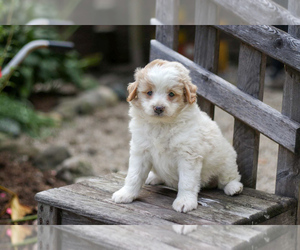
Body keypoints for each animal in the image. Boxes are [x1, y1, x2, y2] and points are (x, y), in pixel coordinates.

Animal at [111, 59, 243, 213]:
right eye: (149, 92)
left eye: (171, 94)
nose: (158, 108)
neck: (161, 125)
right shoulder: (141, 151)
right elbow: (134, 175)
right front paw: (125, 194)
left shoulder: (188, 156)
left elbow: (186, 182)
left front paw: (185, 202)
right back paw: (154, 177)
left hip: (227, 160)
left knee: (229, 177)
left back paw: (234, 187)